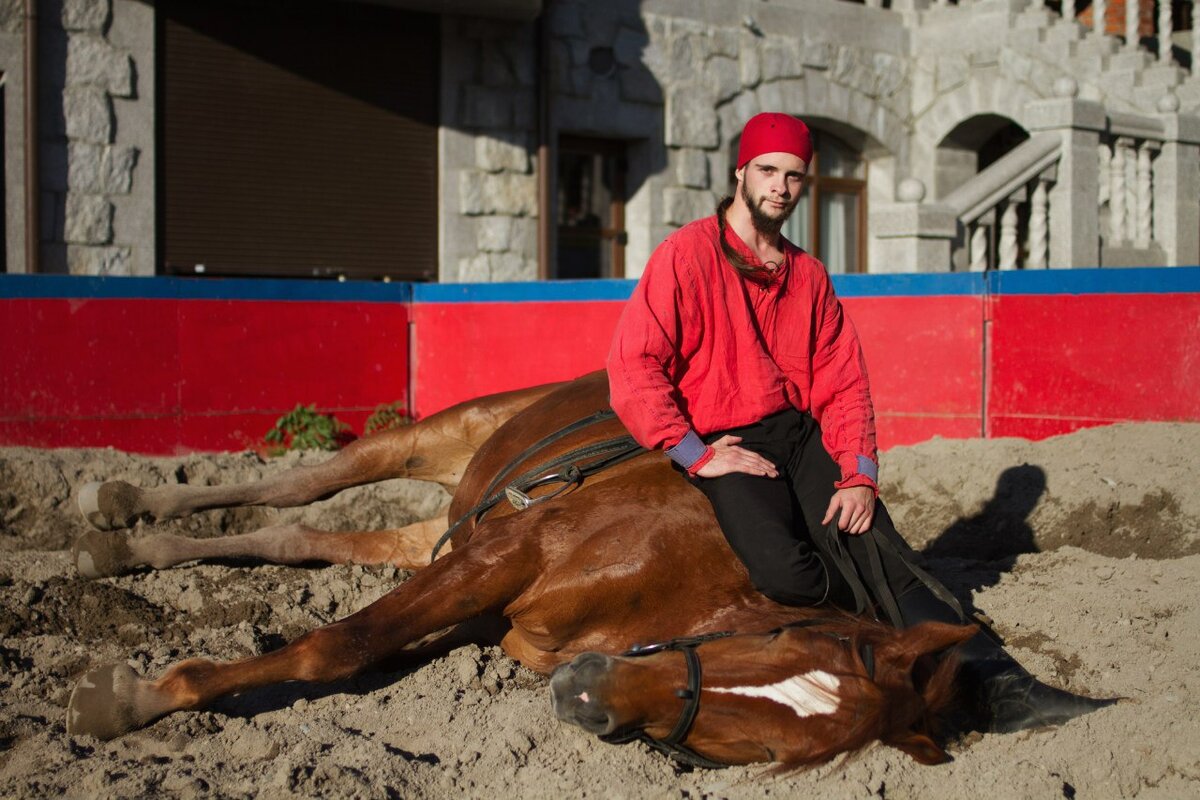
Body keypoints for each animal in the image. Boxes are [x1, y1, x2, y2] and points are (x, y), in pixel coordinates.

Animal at [68, 371, 1089, 767]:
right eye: (775, 645)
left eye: (779, 751)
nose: (587, 693)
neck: (682, 581)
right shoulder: (507, 554)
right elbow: (339, 647)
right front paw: (135, 699)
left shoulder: (480, 593)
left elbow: (365, 634)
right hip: (443, 436)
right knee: (307, 480)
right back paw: (124, 508)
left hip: (443, 526)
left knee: (305, 537)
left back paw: (134, 543)